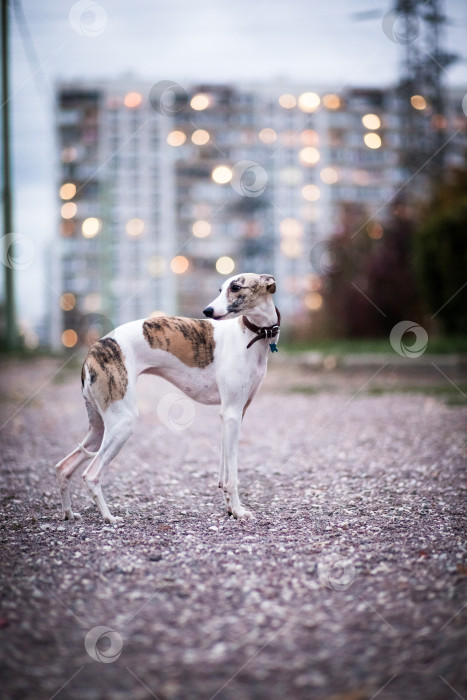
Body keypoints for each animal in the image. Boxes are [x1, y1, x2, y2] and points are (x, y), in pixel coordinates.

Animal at [54, 276, 282, 524]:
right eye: (222, 289)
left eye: (236, 287)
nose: (208, 311)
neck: (249, 336)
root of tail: (92, 350)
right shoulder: (231, 412)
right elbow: (232, 474)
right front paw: (239, 512)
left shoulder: (235, 413)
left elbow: (224, 469)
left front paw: (231, 509)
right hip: (122, 423)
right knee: (91, 474)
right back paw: (109, 517)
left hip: (99, 429)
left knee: (64, 466)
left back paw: (68, 513)